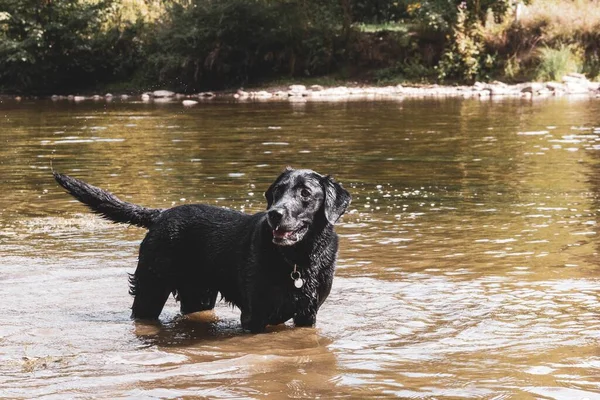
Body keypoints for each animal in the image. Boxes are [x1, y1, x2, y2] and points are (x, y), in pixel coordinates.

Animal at [54, 167, 352, 332]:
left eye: (305, 193)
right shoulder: (253, 316)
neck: (298, 259)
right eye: (276, 191)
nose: (274, 214)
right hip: (150, 289)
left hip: (199, 296)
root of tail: (161, 214)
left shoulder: (308, 315)